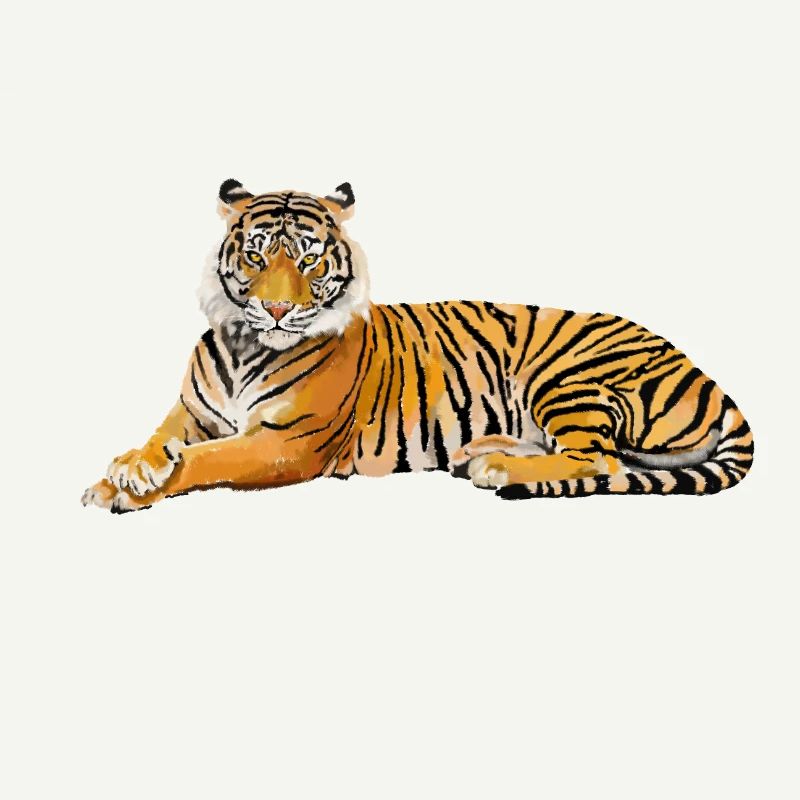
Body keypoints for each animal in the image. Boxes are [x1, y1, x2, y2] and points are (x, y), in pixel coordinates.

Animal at [81, 179, 754, 512]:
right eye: (255, 255)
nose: (276, 309)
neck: (246, 343)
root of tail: (704, 373)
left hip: (567, 377)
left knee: (600, 461)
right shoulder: (190, 412)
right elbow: (161, 440)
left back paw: (495, 467)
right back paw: (483, 451)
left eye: (308, 258)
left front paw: (131, 489)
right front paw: (125, 470)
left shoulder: (286, 444)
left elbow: (205, 460)